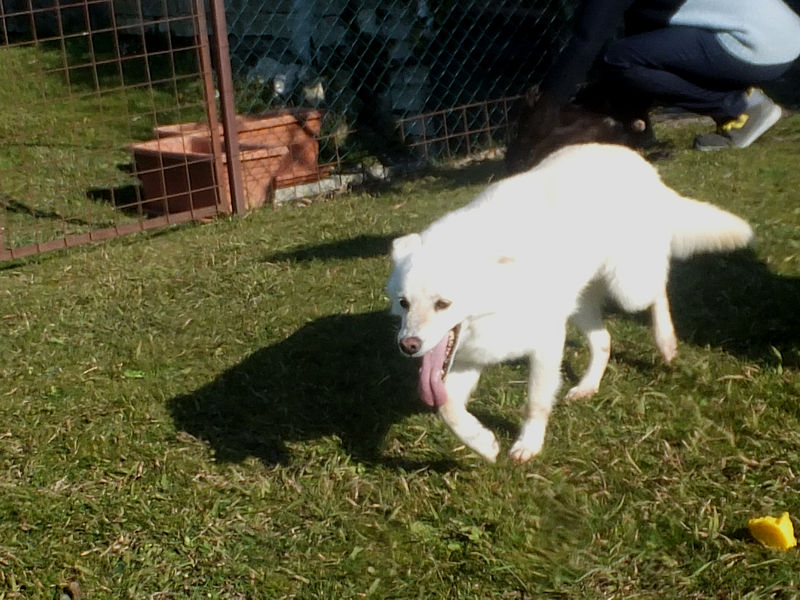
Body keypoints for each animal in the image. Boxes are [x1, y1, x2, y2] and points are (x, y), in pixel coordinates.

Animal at [386, 143, 752, 463]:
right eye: (404, 303)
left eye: (443, 304)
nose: (407, 346)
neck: (502, 289)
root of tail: (641, 164)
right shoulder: (469, 358)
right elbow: (446, 408)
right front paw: (483, 444)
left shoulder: (546, 345)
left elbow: (535, 402)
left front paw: (528, 445)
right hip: (580, 306)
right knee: (604, 341)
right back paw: (588, 386)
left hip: (629, 287)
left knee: (658, 288)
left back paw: (666, 342)